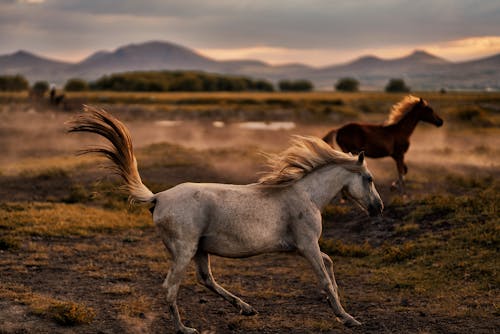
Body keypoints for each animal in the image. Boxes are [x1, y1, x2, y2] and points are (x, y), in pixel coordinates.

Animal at [69, 107, 382, 334]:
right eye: (369, 178)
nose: (378, 208)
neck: (305, 194)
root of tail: (158, 197)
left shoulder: (302, 247)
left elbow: (329, 265)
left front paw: (339, 309)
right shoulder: (307, 245)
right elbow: (324, 278)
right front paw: (349, 318)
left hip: (199, 250)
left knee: (206, 279)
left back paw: (245, 308)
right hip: (184, 250)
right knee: (171, 288)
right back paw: (185, 329)